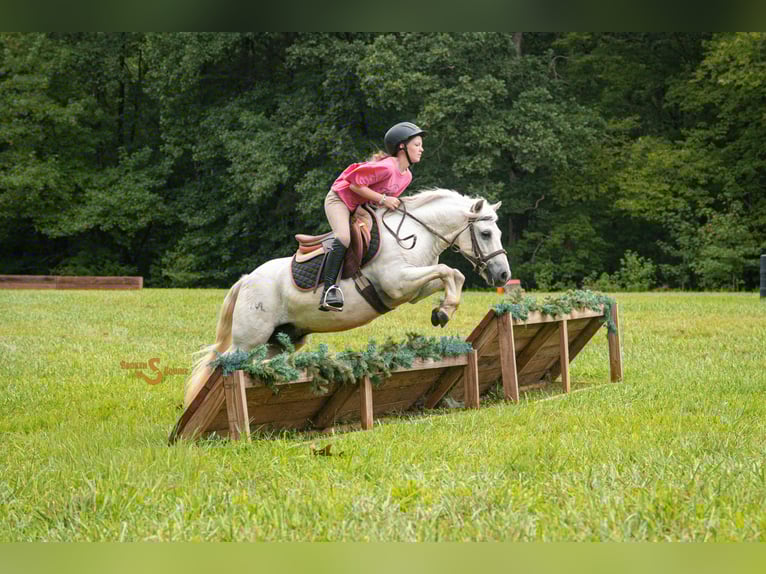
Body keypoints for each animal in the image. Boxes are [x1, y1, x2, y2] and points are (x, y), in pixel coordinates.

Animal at [183, 188, 512, 407]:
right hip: (249, 339)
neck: (416, 234)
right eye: (485, 233)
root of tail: (245, 280)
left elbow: (451, 276)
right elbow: (448, 271)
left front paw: (443, 310)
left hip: (277, 342)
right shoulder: (397, 282)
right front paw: (443, 312)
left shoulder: (413, 289)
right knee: (222, 365)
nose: (503, 275)